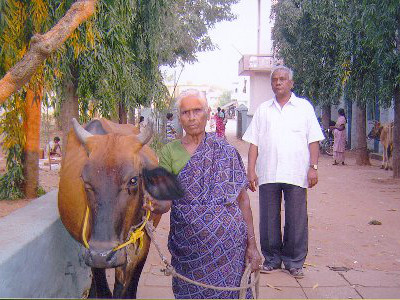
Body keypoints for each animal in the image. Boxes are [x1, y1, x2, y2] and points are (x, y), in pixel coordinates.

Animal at [57, 118, 183, 298]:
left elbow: (128, 288)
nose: (103, 254)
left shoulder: (142, 247)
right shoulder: (92, 251)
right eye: (85, 181)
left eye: (133, 180)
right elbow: (105, 290)